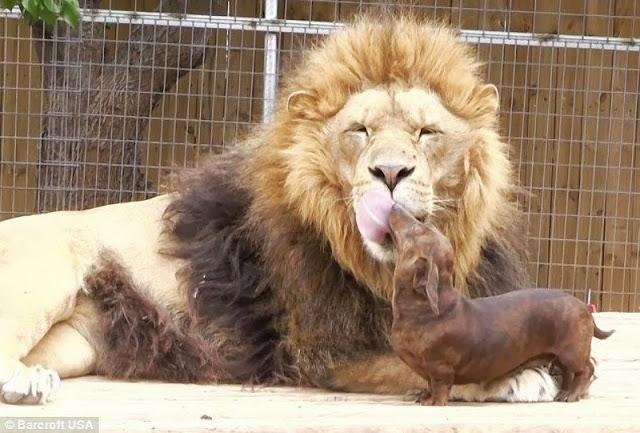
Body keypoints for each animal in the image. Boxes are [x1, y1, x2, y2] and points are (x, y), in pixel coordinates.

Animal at [0, 15, 560, 404]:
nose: (390, 173)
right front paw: (517, 376)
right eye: (360, 131)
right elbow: (426, 363)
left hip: (75, 343)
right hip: (45, 269)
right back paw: (26, 383)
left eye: (427, 133)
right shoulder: (325, 352)